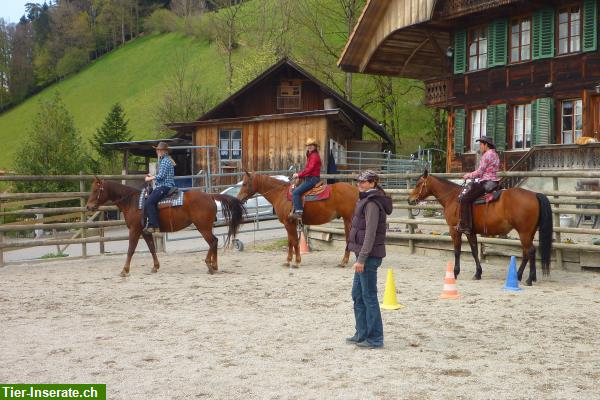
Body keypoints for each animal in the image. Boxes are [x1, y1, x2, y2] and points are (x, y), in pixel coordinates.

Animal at [85, 179, 244, 276]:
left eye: (96, 190)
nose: (88, 207)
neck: (133, 202)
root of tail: (210, 196)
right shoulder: (145, 232)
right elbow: (151, 248)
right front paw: (155, 266)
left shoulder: (135, 230)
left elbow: (130, 249)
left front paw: (124, 270)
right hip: (205, 227)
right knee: (214, 242)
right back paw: (214, 266)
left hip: (203, 227)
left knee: (213, 241)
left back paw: (209, 265)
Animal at [408, 170, 552, 286]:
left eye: (418, 184)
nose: (410, 200)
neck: (453, 198)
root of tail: (534, 194)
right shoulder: (470, 232)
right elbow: (474, 251)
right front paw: (478, 273)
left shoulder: (454, 230)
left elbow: (457, 251)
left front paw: (455, 272)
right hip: (529, 233)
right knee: (527, 252)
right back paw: (520, 276)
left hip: (524, 232)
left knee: (531, 251)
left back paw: (529, 279)